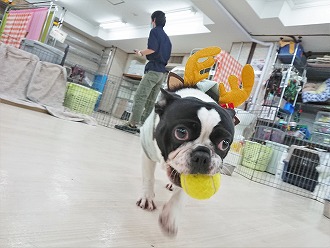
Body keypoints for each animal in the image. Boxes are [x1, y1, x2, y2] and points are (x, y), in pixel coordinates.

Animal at [137, 85, 237, 236]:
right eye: (181, 132)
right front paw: (147, 197)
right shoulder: (147, 151)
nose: (202, 155)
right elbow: (149, 178)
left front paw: (170, 217)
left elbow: (181, 195)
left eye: (224, 143)